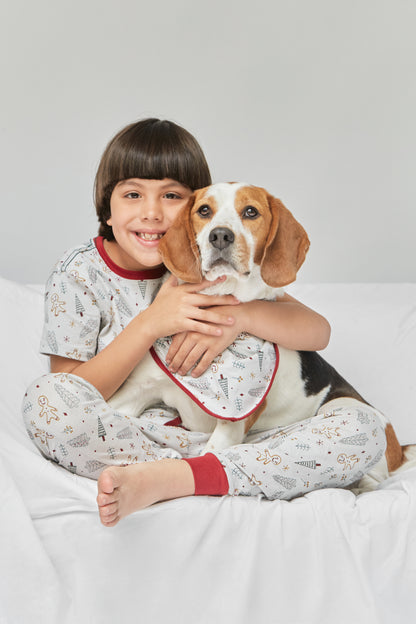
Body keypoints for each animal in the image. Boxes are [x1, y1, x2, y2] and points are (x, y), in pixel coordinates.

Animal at [109, 182, 408, 482]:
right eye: (204, 210)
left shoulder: (233, 424)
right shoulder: (136, 391)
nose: (220, 235)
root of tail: (401, 448)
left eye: (250, 212)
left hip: (342, 408)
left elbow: (211, 452)